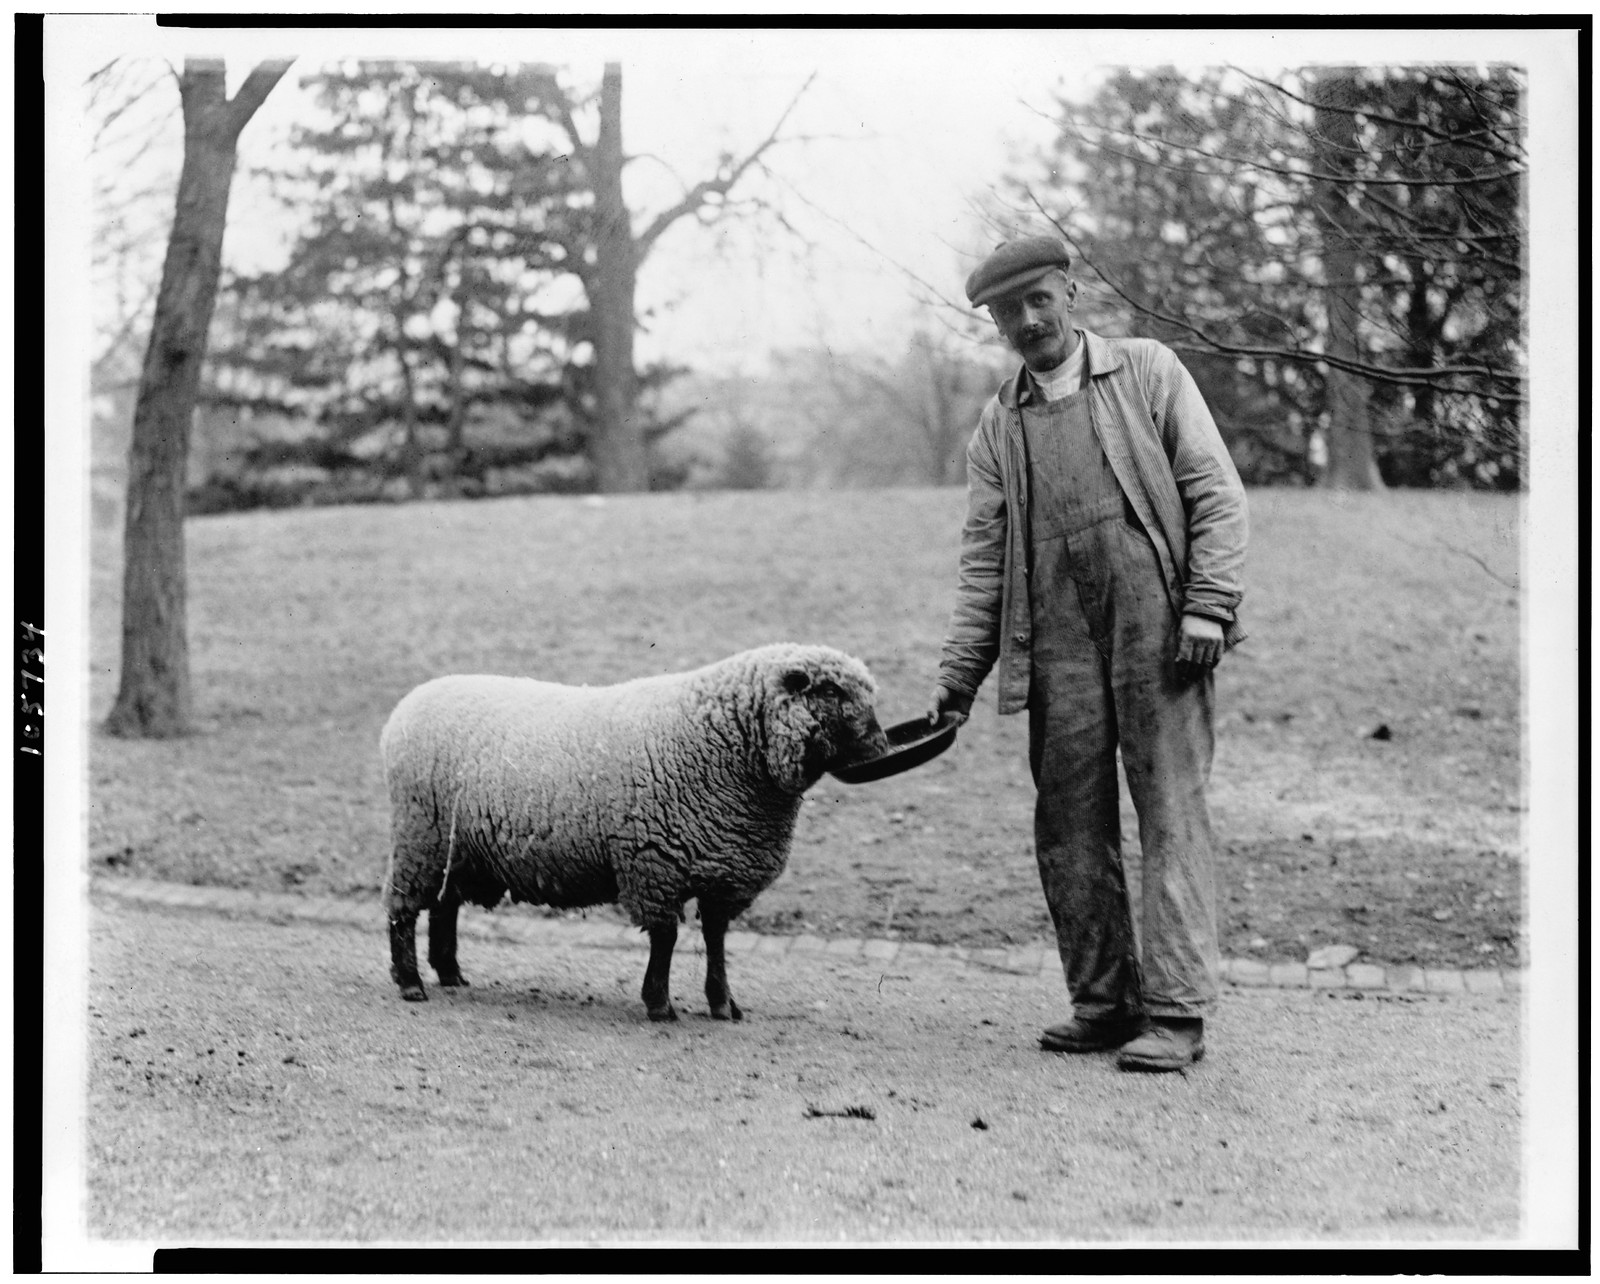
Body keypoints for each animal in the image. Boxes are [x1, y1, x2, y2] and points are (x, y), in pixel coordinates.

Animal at [379, 643, 888, 1022]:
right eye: (831, 690)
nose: (882, 748)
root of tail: (409, 703)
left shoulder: (723, 870)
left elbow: (716, 941)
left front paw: (723, 1003)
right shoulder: (654, 862)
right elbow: (666, 938)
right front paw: (660, 1004)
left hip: (456, 847)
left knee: (444, 905)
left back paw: (450, 973)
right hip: (420, 835)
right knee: (403, 910)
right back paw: (411, 982)